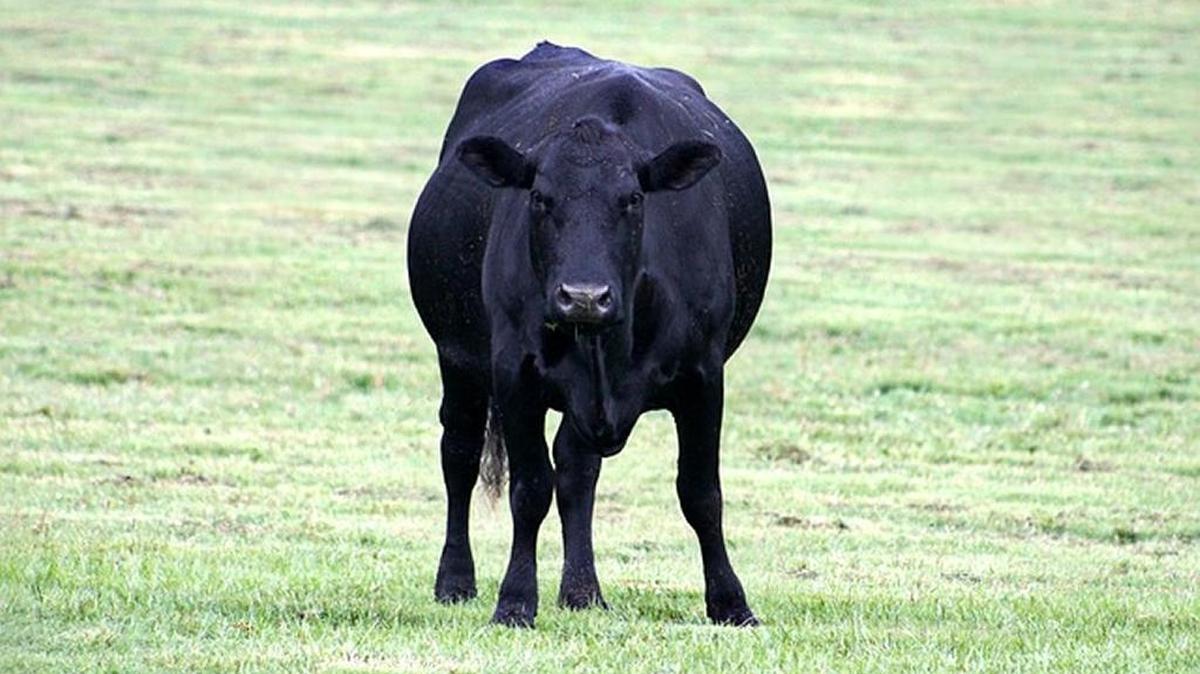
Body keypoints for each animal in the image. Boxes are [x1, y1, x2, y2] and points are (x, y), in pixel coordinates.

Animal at [407, 42, 771, 628]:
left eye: (633, 199)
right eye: (539, 197)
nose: (583, 296)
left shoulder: (704, 377)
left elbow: (700, 492)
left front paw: (731, 603)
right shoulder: (515, 376)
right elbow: (530, 489)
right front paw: (515, 601)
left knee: (577, 470)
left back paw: (583, 592)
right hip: (457, 359)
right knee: (459, 454)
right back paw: (456, 580)